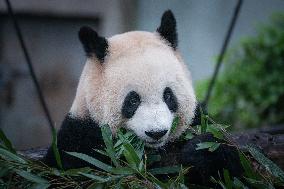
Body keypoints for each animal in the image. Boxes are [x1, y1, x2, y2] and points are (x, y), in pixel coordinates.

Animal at [44, 10, 242, 186]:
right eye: (133, 100)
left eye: (168, 95)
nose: (156, 133)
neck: (149, 151)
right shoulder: (80, 137)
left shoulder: (198, 120)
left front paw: (202, 150)